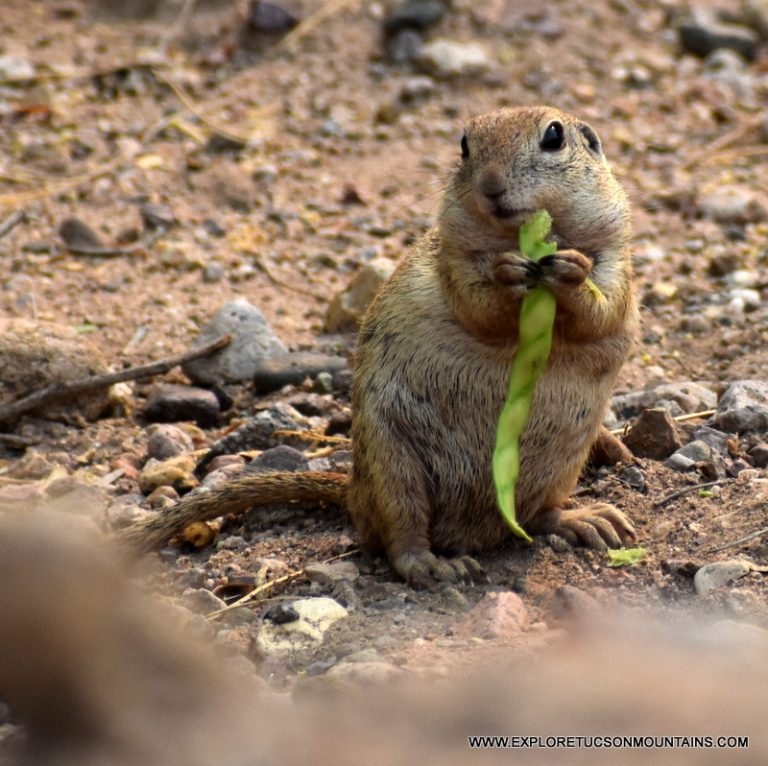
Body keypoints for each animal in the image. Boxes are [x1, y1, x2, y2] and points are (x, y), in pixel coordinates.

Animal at [123, 106, 640, 588]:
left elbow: (604, 310)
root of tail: (354, 492)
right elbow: (479, 307)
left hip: (561, 467)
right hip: (394, 466)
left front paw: (571, 271)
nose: (490, 185)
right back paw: (434, 565)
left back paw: (589, 520)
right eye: (464, 145)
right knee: (401, 537)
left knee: (537, 516)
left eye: (554, 137)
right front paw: (506, 272)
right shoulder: (453, 260)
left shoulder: (617, 255)